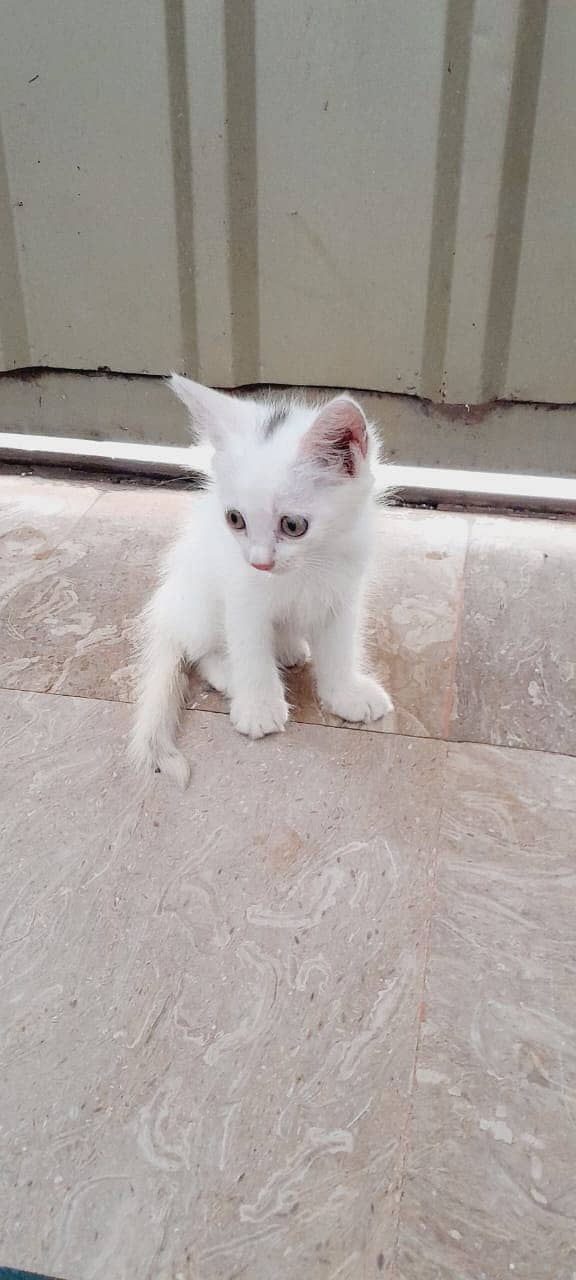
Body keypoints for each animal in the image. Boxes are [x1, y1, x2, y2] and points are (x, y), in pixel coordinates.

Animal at [130, 373, 391, 783]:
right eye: (235, 519)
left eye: (293, 525)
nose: (260, 563)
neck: (306, 568)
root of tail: (166, 610)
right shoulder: (242, 591)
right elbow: (249, 647)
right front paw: (258, 707)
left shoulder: (344, 592)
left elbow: (340, 648)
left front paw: (346, 694)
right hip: (198, 601)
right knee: (200, 650)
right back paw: (231, 674)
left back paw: (288, 648)